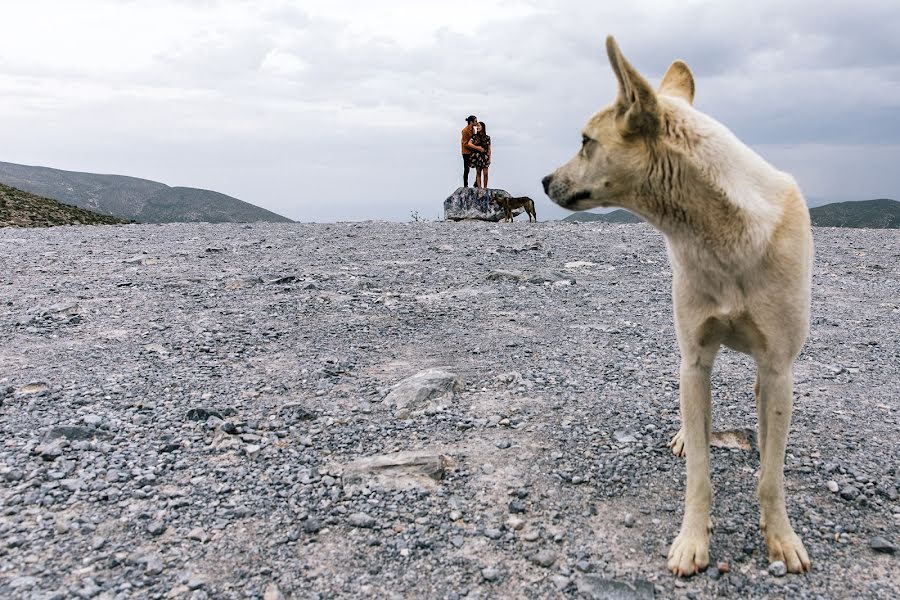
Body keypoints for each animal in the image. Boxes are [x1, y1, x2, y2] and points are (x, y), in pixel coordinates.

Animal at [540, 34, 816, 576]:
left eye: (585, 140)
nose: (542, 181)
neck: (724, 237)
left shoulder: (778, 366)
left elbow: (771, 476)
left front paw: (781, 536)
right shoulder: (695, 357)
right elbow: (699, 474)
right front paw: (692, 541)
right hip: (691, 360)